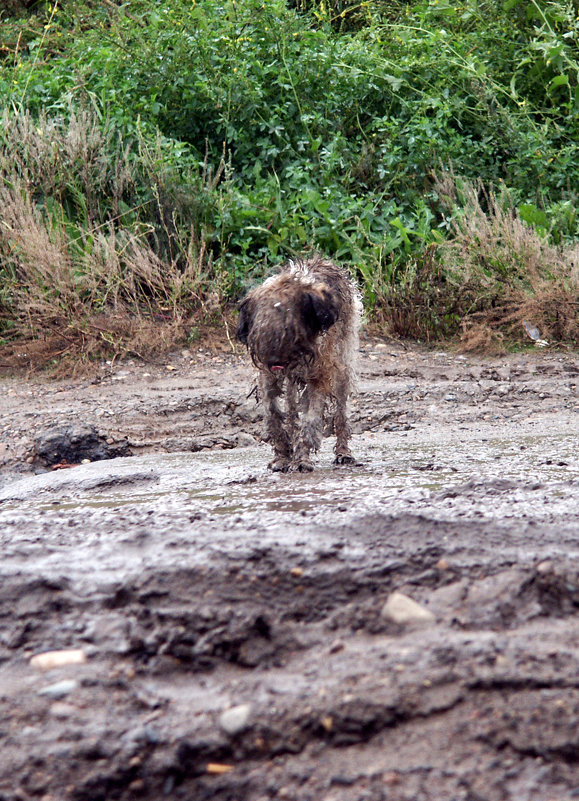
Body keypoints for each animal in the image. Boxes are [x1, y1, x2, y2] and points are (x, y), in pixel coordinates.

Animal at [237, 255, 362, 468]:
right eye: (261, 327)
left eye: (290, 327)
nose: (275, 360)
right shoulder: (268, 376)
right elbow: (273, 412)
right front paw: (282, 456)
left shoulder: (318, 374)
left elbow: (310, 419)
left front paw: (302, 458)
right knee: (291, 407)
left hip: (342, 364)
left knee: (341, 410)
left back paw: (343, 451)